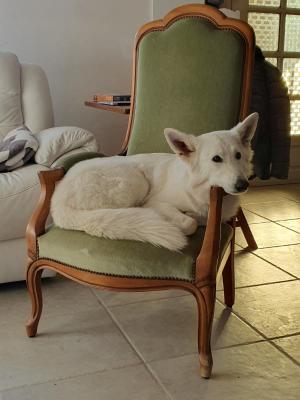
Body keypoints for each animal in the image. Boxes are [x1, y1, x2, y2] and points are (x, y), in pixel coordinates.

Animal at [51, 112, 258, 250]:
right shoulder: (157, 202)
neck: (200, 190)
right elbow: (189, 223)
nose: (243, 185)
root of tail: (57, 201)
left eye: (238, 155)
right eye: (216, 159)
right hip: (136, 181)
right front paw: (184, 219)